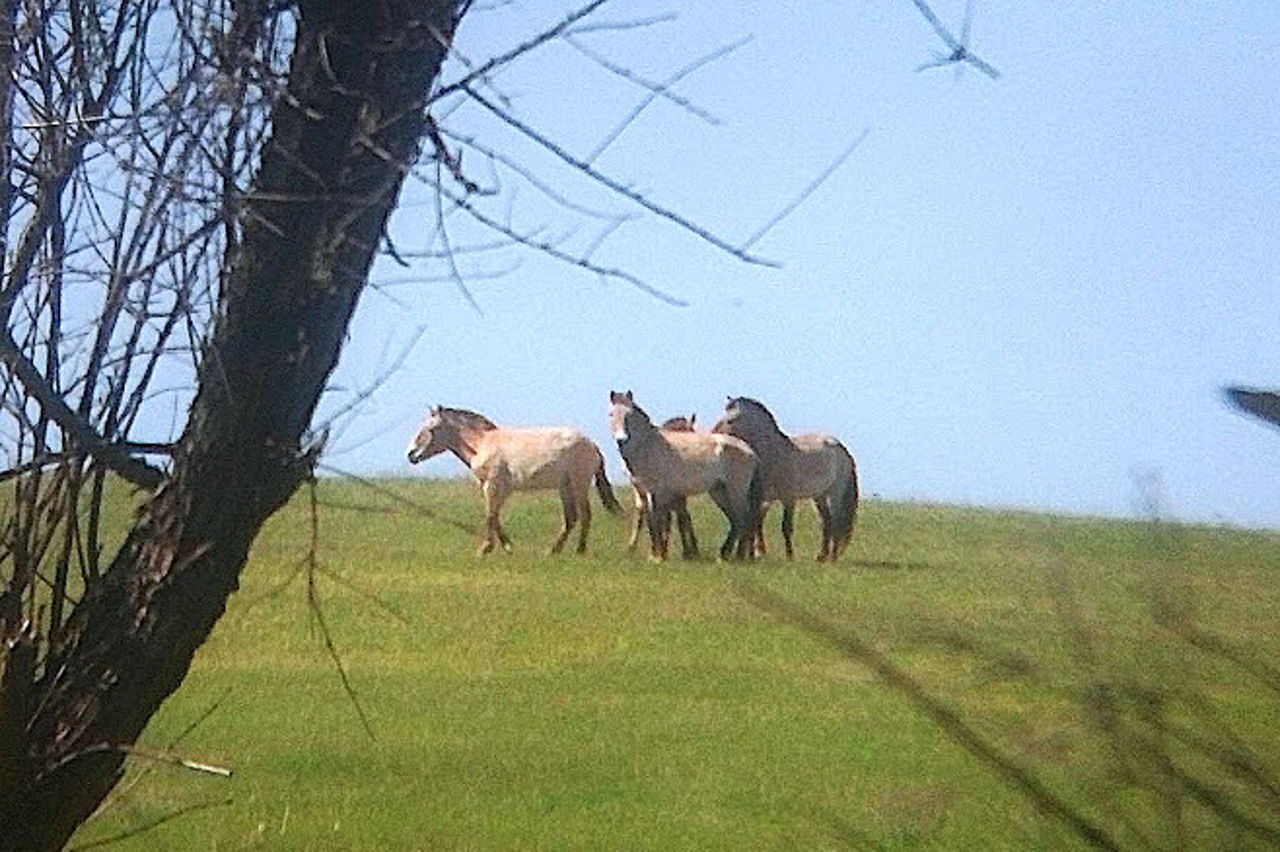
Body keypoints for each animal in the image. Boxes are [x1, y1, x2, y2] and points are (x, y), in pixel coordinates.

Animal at [399, 404, 619, 550]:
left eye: (431, 429)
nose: (411, 454)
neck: (482, 444)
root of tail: (592, 445)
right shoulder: (498, 488)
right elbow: (494, 515)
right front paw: (507, 546)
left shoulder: (493, 485)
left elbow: (490, 515)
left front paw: (486, 549)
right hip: (564, 487)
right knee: (571, 518)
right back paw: (552, 551)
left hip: (579, 484)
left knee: (585, 515)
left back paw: (579, 551)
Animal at [711, 396, 860, 560]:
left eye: (731, 420)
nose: (714, 432)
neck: (773, 453)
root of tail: (841, 448)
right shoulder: (762, 498)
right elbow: (756, 524)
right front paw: (757, 553)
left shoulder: (788, 498)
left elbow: (785, 527)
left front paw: (789, 556)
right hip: (819, 496)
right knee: (826, 522)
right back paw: (821, 556)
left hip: (835, 494)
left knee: (836, 521)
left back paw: (832, 557)